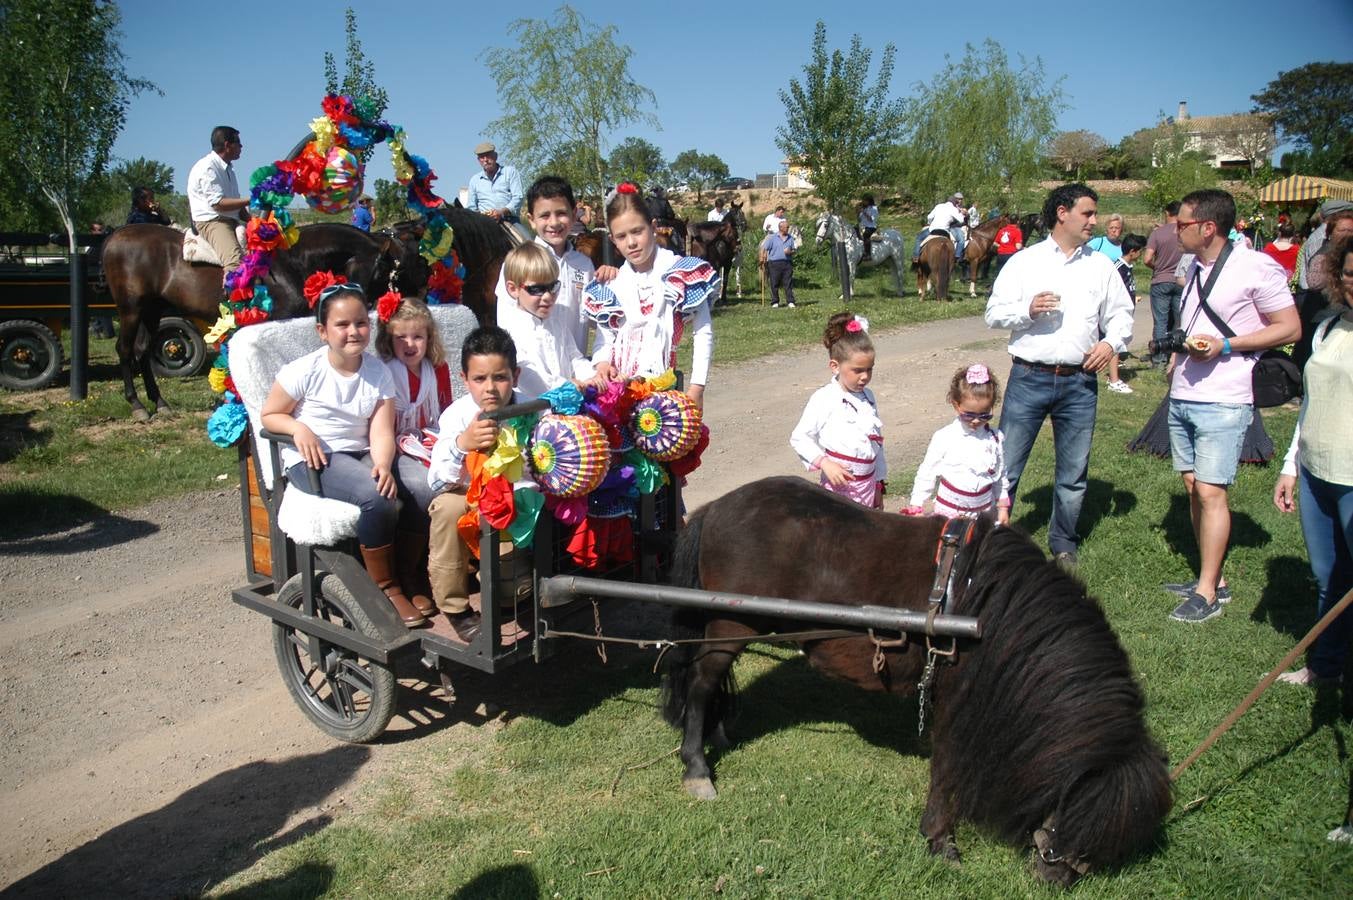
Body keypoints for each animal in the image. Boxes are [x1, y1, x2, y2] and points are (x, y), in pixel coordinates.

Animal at [660, 476, 1168, 882]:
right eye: (1089, 816)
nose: (1054, 877)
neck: (987, 609)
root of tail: (717, 507)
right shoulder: (957, 698)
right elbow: (946, 767)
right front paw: (941, 840)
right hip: (731, 624)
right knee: (701, 684)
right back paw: (697, 767)